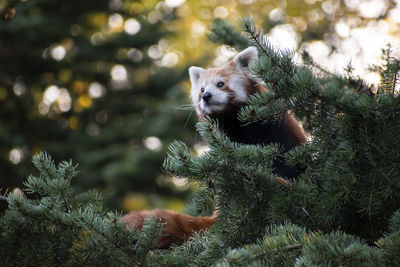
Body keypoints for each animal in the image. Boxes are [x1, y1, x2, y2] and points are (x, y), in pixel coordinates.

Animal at [122, 46, 306, 249]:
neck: (234, 122)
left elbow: (284, 159)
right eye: (202, 88)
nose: (206, 96)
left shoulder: (274, 128)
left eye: (220, 84)